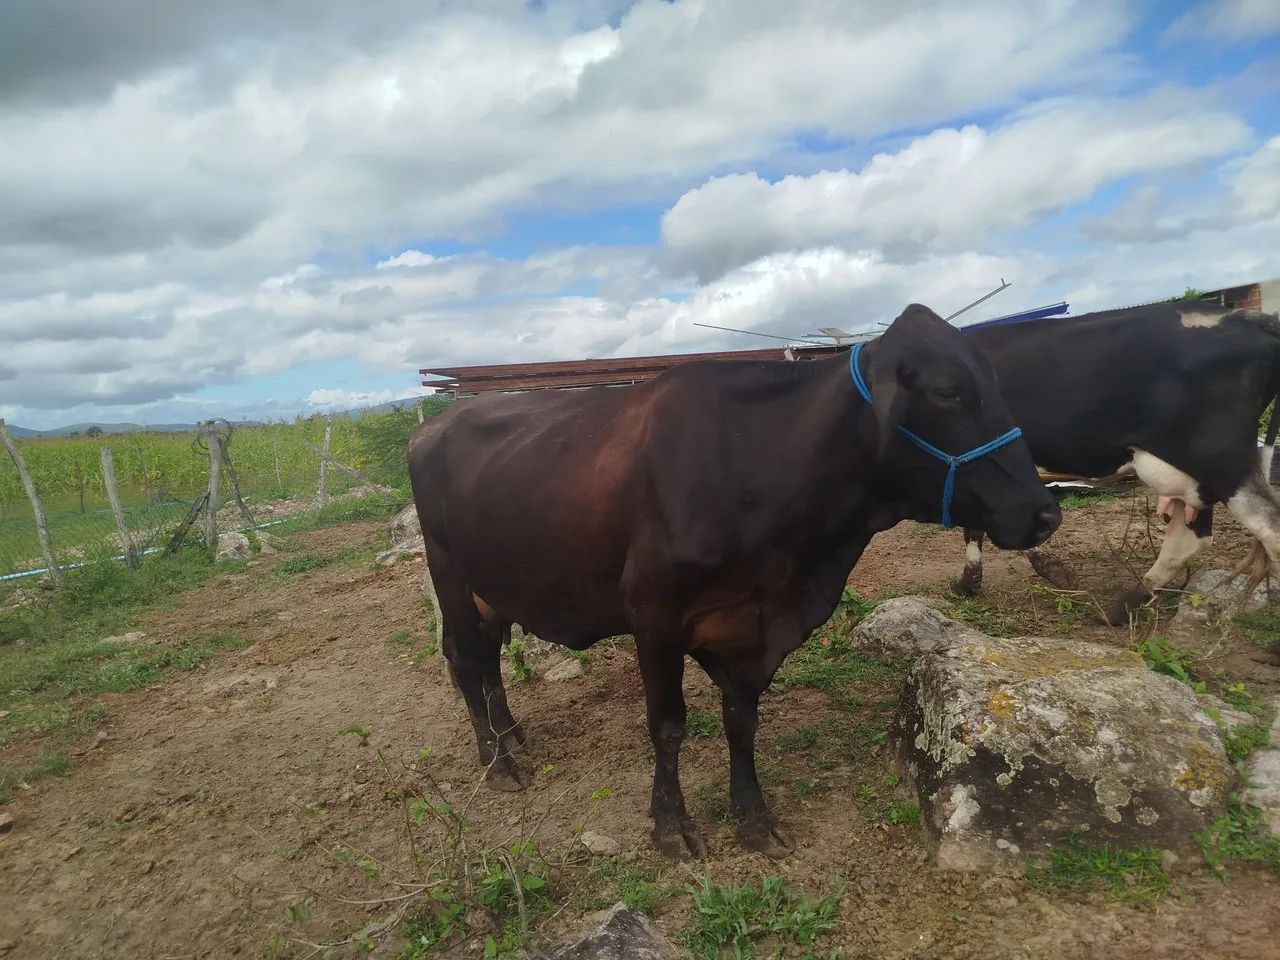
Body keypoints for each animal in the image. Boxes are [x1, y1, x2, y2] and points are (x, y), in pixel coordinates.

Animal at [408, 304, 1060, 861]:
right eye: (947, 392)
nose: (1044, 513)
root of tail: (432, 427)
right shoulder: (653, 614)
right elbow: (668, 725)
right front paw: (671, 825)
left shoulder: (752, 629)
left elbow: (742, 722)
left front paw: (754, 818)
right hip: (449, 573)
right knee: (466, 659)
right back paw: (497, 763)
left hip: (494, 586)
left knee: (489, 658)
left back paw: (511, 736)